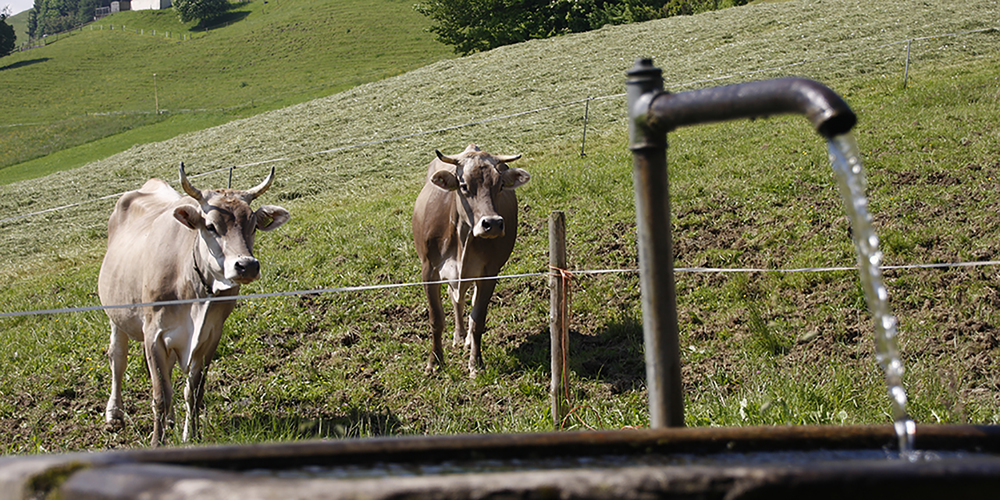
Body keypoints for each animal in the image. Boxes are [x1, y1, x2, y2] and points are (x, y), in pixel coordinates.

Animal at [98, 163, 290, 447]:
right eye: (210, 226)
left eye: (254, 225)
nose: (246, 265)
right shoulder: (153, 334)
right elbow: (160, 396)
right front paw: (157, 442)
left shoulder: (210, 337)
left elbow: (194, 391)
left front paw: (192, 435)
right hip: (116, 316)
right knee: (118, 358)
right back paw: (114, 414)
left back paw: (171, 421)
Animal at [412, 144, 530, 378]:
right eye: (464, 185)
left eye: (500, 184)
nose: (492, 223)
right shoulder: (429, 271)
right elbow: (436, 320)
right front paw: (434, 362)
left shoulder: (489, 273)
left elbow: (478, 319)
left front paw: (476, 363)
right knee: (456, 299)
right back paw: (458, 336)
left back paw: (465, 339)